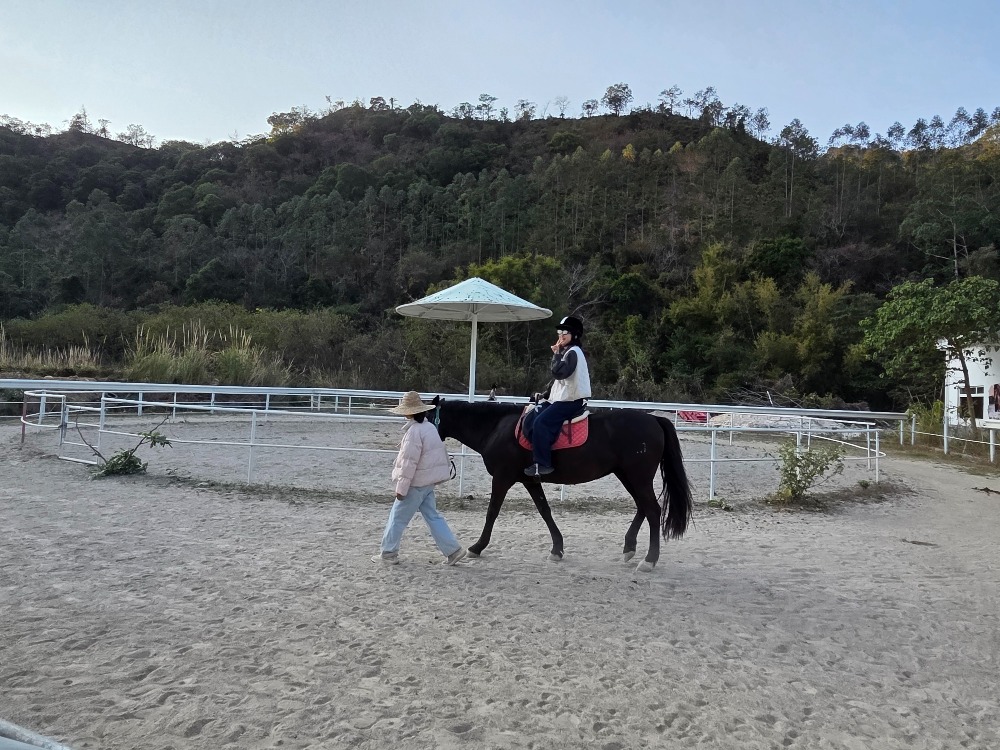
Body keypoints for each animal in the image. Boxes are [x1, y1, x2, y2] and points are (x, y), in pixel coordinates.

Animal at [430, 397, 692, 572]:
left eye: (426, 416)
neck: (496, 427)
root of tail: (654, 419)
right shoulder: (529, 480)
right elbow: (545, 510)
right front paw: (557, 549)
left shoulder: (503, 478)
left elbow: (492, 512)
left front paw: (477, 547)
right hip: (627, 476)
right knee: (642, 507)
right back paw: (630, 548)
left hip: (637, 477)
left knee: (652, 510)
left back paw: (649, 560)